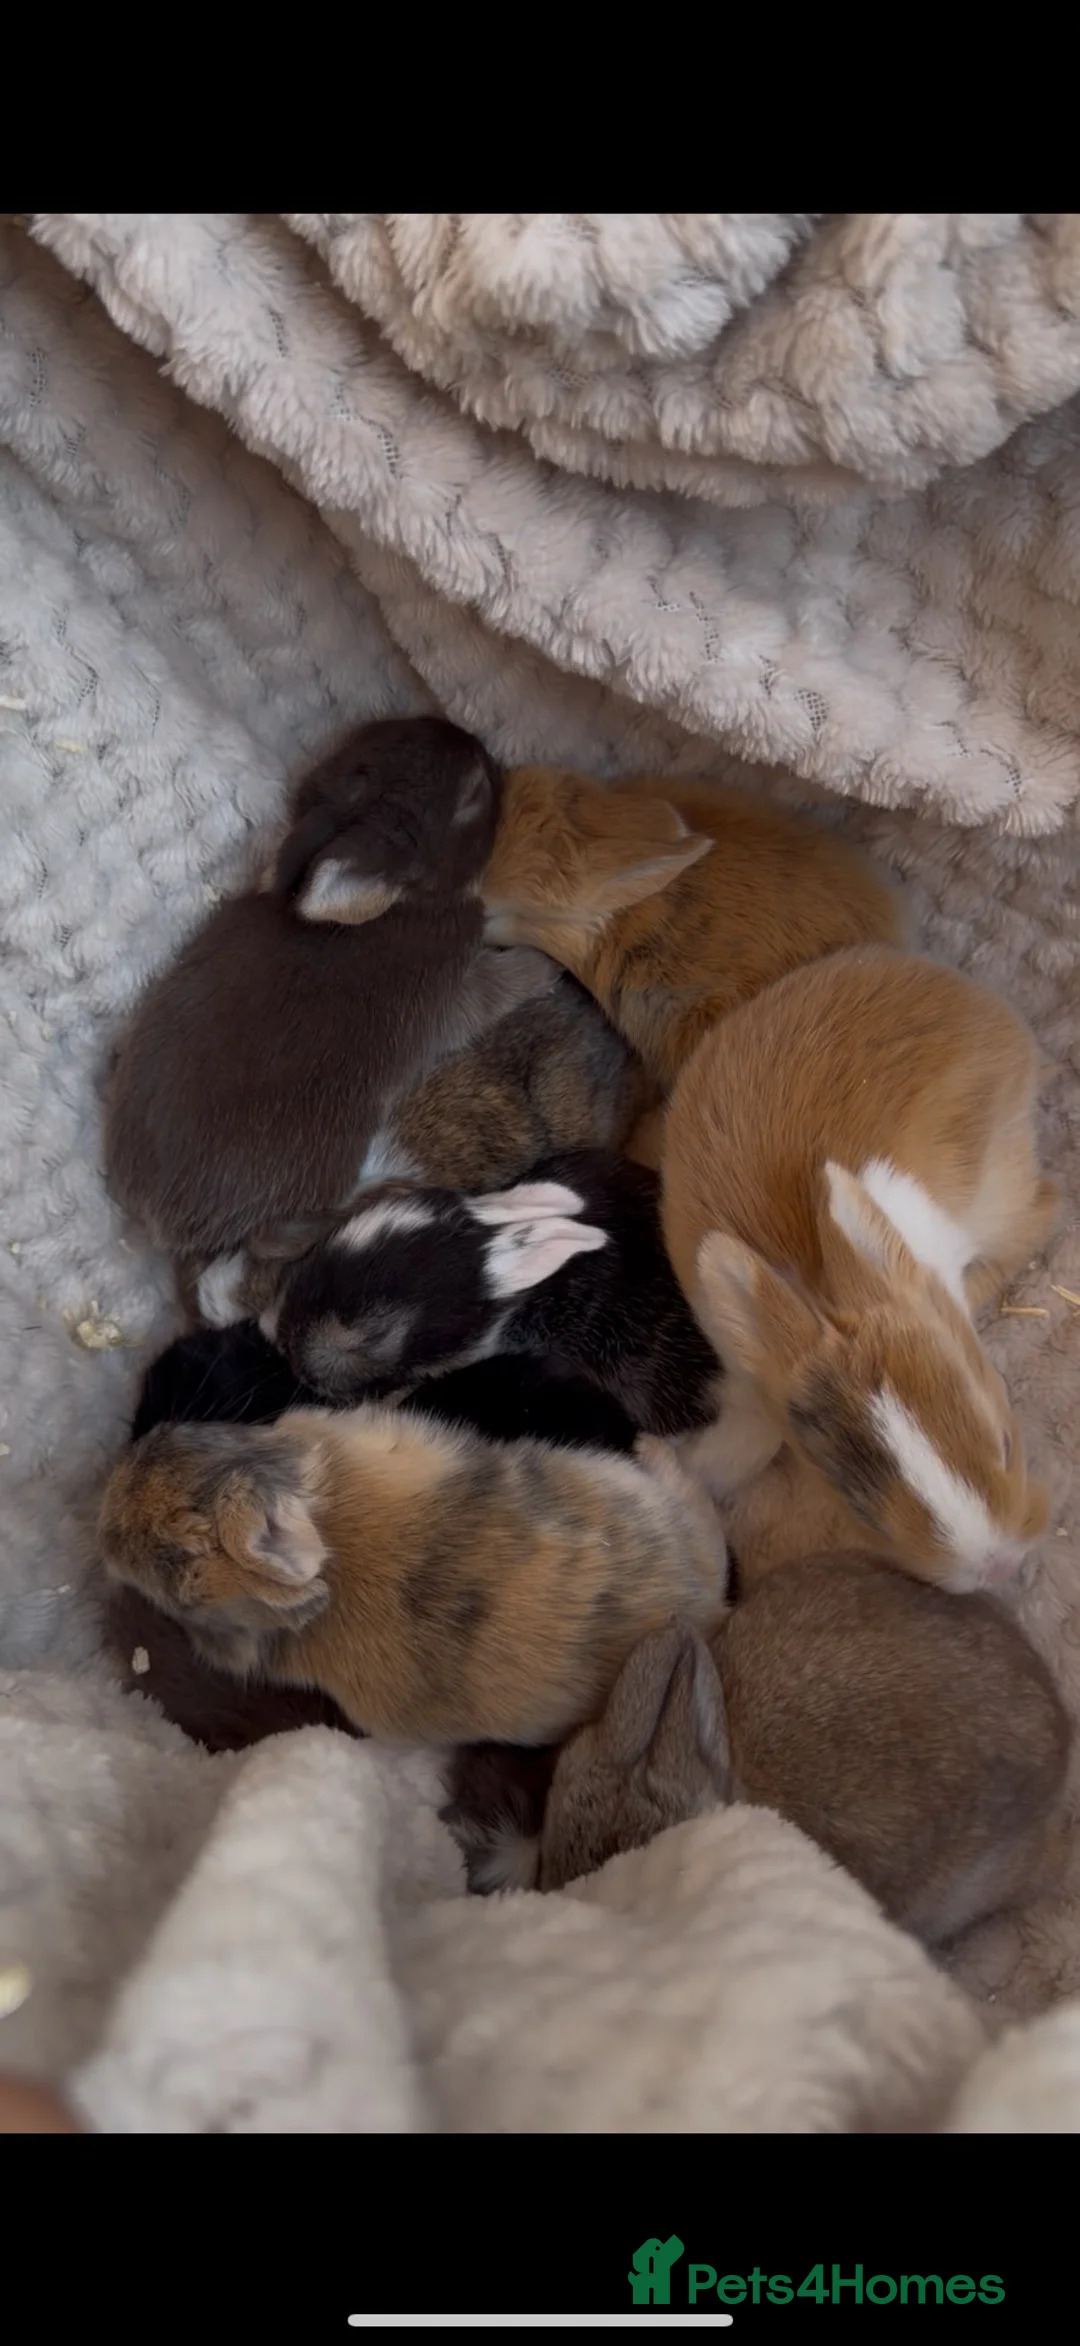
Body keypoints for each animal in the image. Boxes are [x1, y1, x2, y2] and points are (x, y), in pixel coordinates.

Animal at [104, 716, 557, 1265]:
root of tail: (154, 1219)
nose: (477, 742)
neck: (405, 902)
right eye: (473, 791)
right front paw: (544, 967)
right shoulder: (453, 996)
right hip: (331, 1158)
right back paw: (382, 1195)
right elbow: (498, 988)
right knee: (273, 1239)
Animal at [660, 945, 1058, 1593]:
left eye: (1005, 1443)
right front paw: (703, 1466)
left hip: (997, 1192)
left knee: (1043, 1210)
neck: (816, 1292)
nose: (998, 1565)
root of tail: (983, 1005)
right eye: (864, 1517)